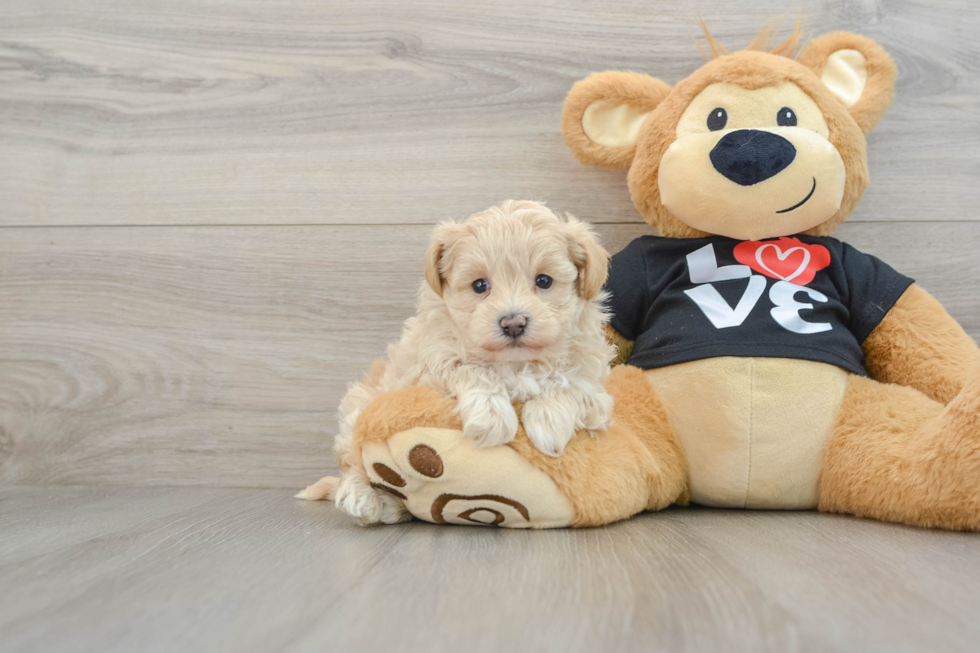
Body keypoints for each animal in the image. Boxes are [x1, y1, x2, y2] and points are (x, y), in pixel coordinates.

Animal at [302, 201, 616, 524]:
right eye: (479, 285)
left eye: (544, 281)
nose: (513, 323)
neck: (514, 363)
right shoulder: (426, 369)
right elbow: (466, 367)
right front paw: (492, 417)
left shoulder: (596, 387)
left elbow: (573, 382)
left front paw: (548, 422)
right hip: (357, 409)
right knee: (351, 459)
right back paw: (362, 497)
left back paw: (392, 505)